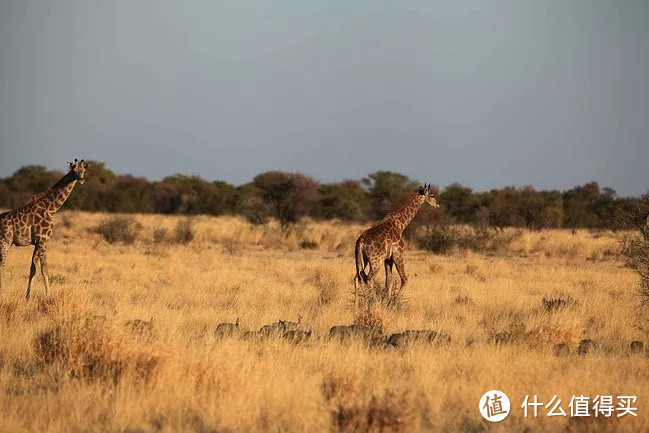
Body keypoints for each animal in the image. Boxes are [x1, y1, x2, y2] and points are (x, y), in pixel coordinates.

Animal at [0, 159, 88, 300]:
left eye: (84, 170)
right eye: (74, 170)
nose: (81, 179)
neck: (51, 209)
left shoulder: (38, 242)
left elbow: (33, 268)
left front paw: (28, 297)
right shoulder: (42, 240)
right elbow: (44, 268)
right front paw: (48, 295)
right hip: (5, 242)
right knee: (2, 265)